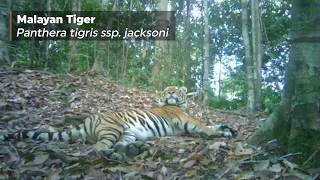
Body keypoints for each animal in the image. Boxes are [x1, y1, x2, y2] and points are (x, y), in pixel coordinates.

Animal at [0, 86, 235, 152]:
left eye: (176, 90)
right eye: (167, 90)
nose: (170, 93)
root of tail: (85, 122)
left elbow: (213, 123)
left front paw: (228, 128)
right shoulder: (186, 121)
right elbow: (205, 126)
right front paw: (221, 133)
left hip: (128, 133)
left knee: (121, 145)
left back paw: (127, 151)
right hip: (112, 129)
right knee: (98, 147)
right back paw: (106, 153)